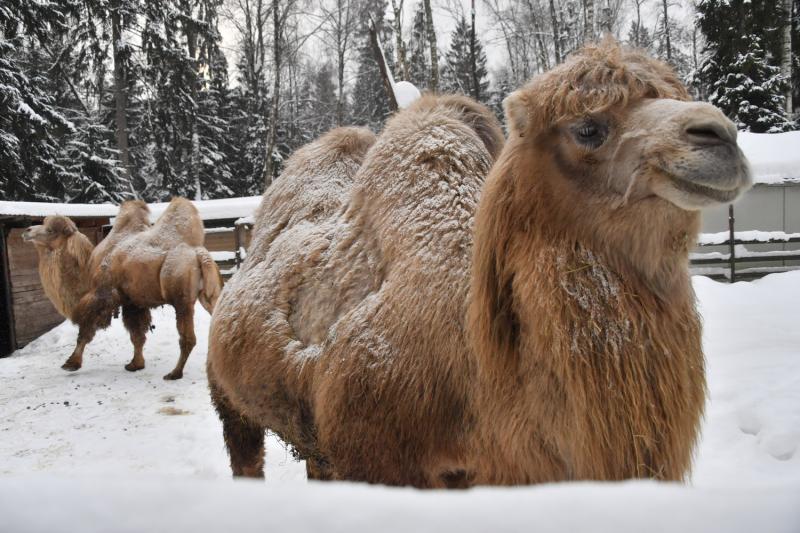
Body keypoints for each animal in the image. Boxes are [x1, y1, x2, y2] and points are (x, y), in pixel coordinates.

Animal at [25, 198, 222, 378]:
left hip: (181, 298)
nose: (27, 231)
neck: (87, 270)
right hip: (209, 296)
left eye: (50, 230)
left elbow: (86, 330)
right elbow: (137, 335)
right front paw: (135, 364)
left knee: (188, 338)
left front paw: (71, 363)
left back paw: (174, 373)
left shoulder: (102, 295)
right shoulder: (133, 302)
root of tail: (199, 254)